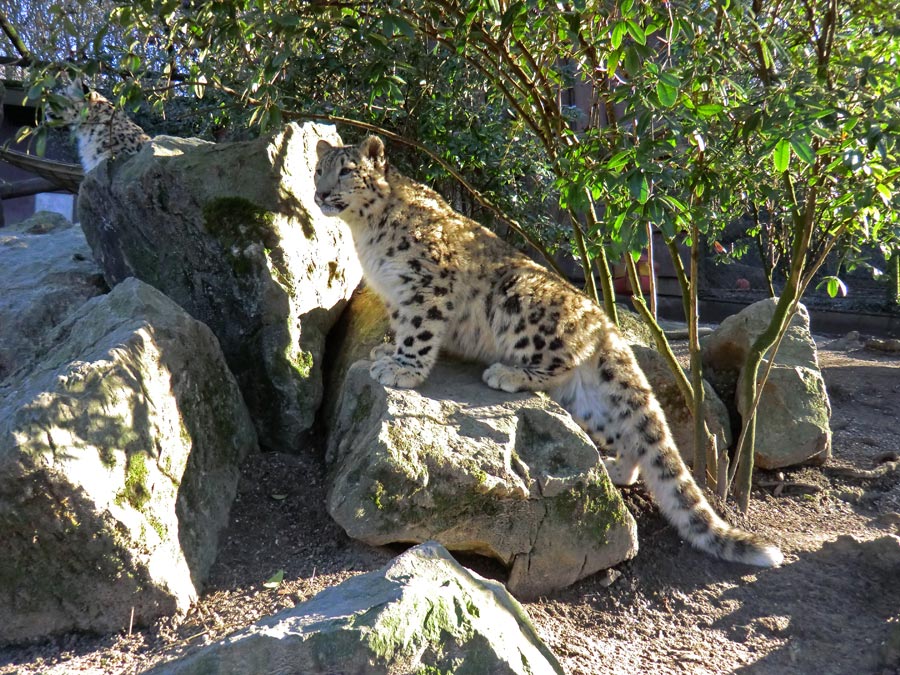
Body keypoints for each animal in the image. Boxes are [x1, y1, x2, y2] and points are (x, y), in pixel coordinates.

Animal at [312, 135, 784, 568]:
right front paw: (386, 354)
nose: (319, 195)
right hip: (587, 402)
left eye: (347, 171)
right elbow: (400, 327)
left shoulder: (428, 286)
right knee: (628, 434)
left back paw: (505, 373)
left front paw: (403, 369)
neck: (364, 235)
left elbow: (419, 330)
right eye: (318, 170)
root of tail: (605, 324)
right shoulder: (396, 297)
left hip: (521, 301)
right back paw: (617, 468)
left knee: (555, 359)